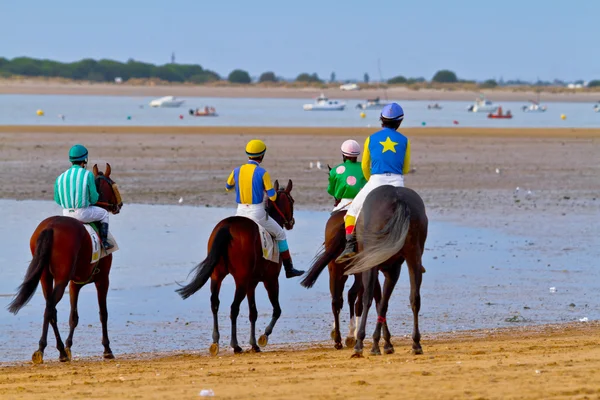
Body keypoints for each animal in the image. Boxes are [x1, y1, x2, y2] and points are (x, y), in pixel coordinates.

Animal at [7, 164, 123, 364]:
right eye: (113, 184)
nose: (119, 205)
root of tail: (50, 227)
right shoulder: (102, 280)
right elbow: (103, 314)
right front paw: (107, 349)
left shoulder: (74, 283)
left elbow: (73, 317)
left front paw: (68, 347)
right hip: (60, 278)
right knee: (50, 308)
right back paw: (42, 349)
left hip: (46, 278)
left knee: (51, 309)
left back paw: (60, 351)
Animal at [175, 180, 294, 354]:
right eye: (292, 201)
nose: (291, 222)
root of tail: (228, 226)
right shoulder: (270, 280)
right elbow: (276, 310)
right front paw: (263, 337)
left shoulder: (252, 283)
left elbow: (253, 312)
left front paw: (254, 343)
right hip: (241, 280)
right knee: (233, 308)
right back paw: (235, 345)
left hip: (217, 276)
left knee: (215, 303)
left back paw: (215, 342)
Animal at [300, 209, 380, 350]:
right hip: (358, 269)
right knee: (353, 296)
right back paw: (351, 336)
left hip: (334, 270)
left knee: (336, 301)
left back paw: (338, 339)